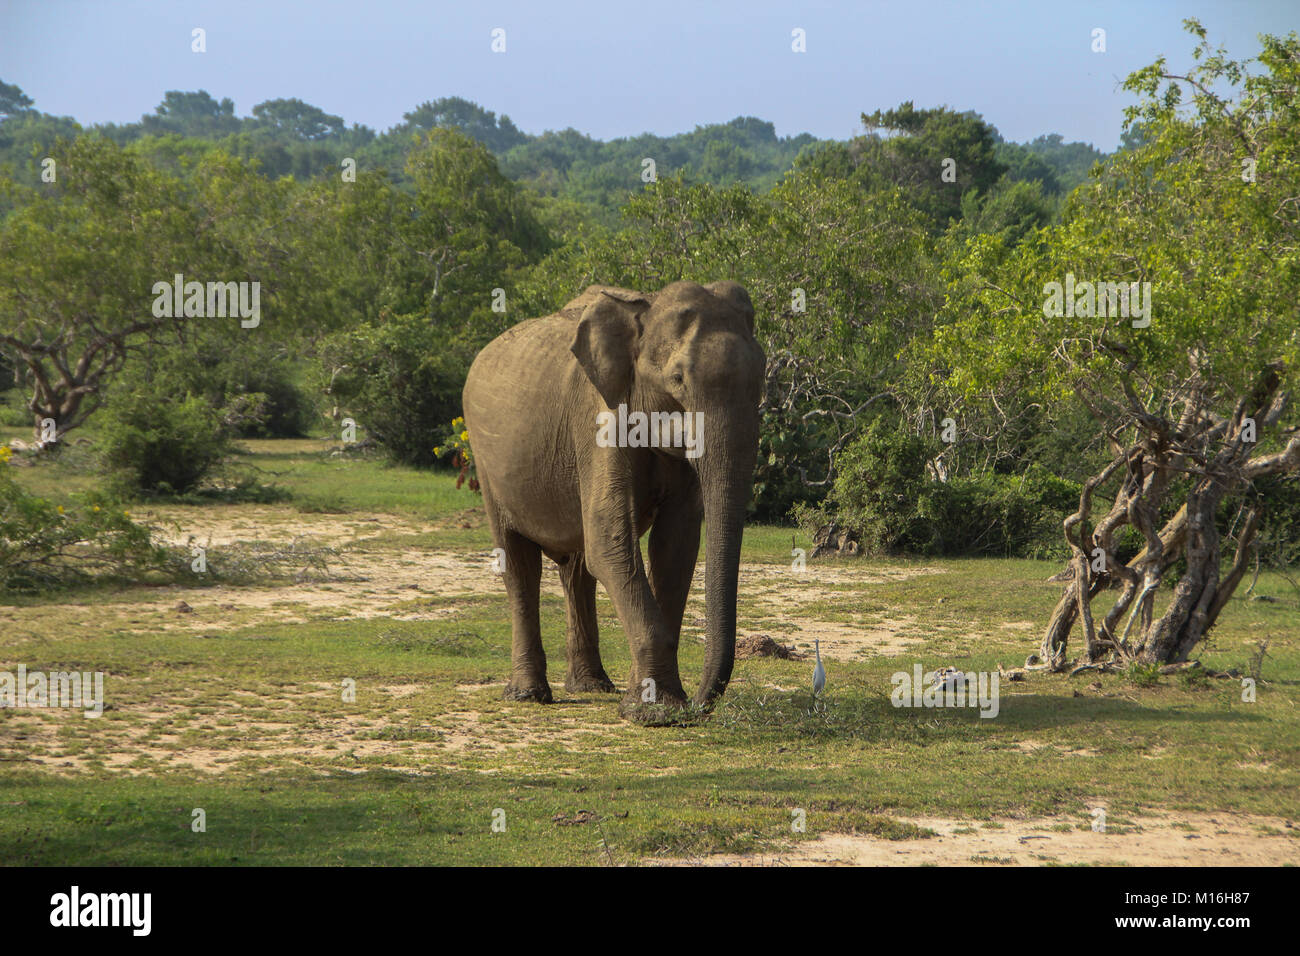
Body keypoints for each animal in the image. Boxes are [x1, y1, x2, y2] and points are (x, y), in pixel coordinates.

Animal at [462, 280, 764, 723]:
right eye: (677, 379)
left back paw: (592, 686)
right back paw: (528, 695)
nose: (700, 704)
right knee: (518, 564)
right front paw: (655, 714)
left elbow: (675, 547)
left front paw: (651, 703)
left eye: (762, 379)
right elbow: (610, 542)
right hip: (486, 461)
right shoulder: (597, 418)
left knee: (577, 570)